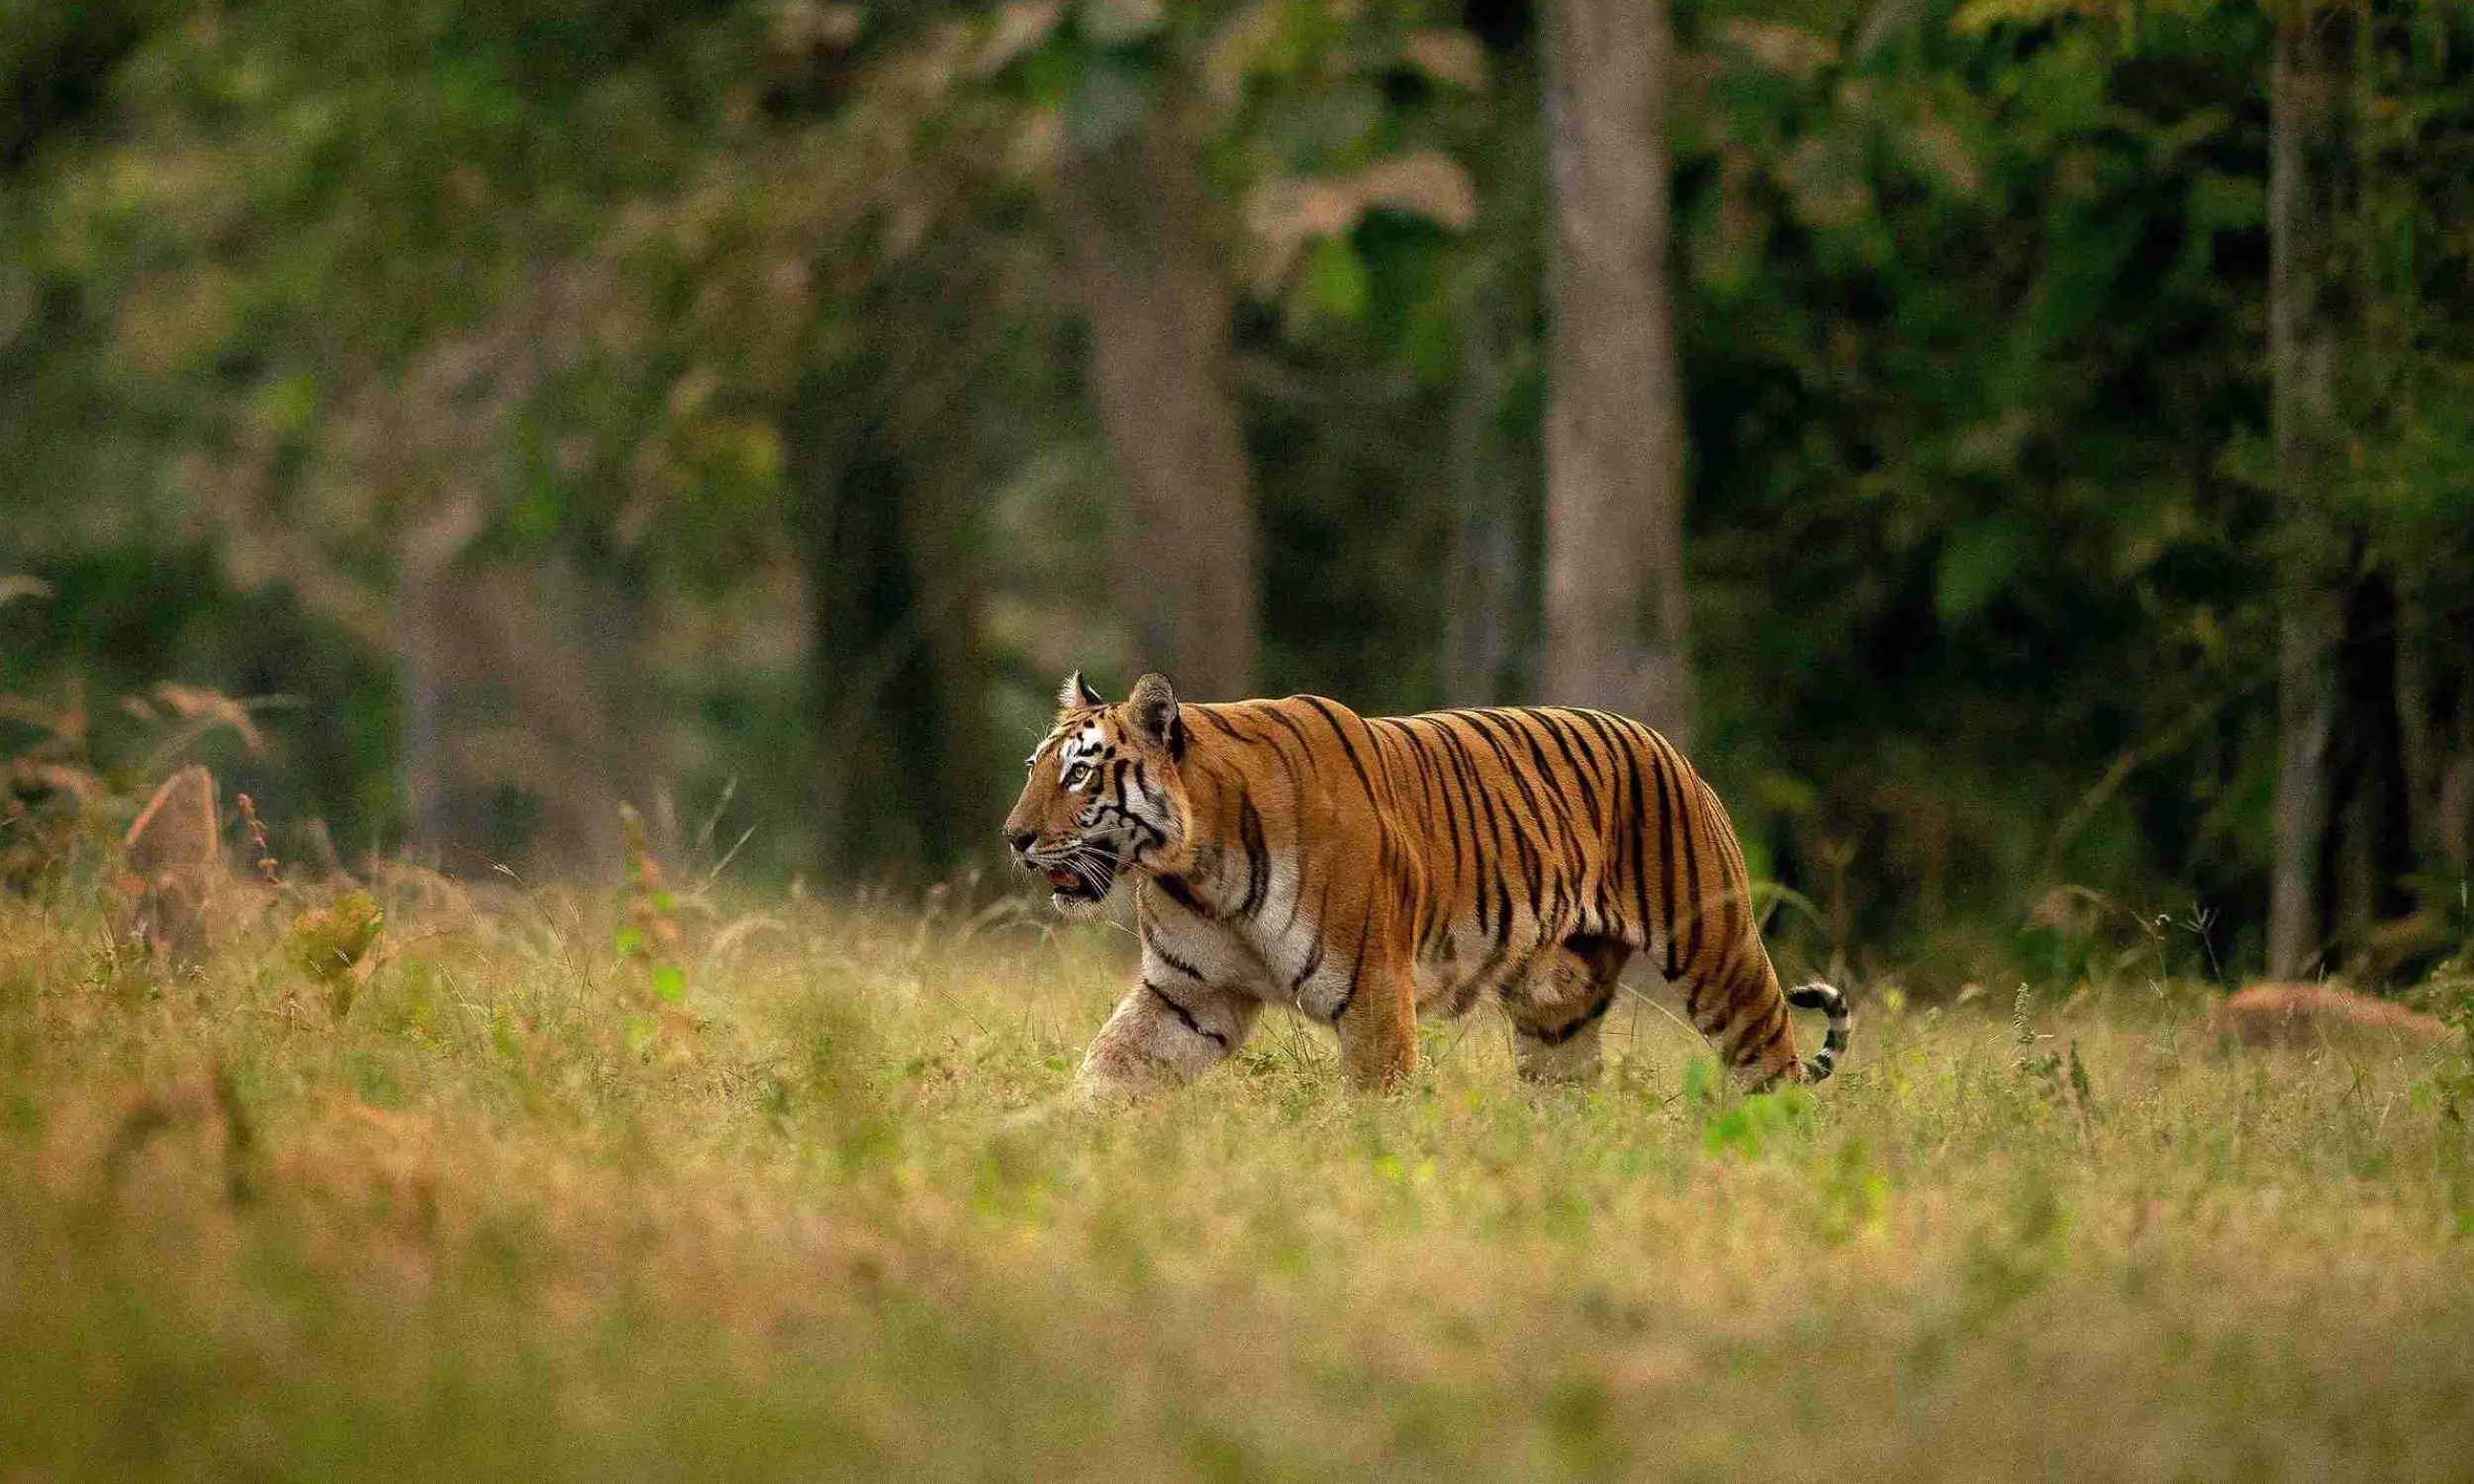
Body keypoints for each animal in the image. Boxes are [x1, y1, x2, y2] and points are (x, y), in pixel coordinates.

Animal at [1001, 671, 1850, 1093]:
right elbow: (1107, 1073)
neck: (1197, 866)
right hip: (1556, 1010)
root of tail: (1665, 744)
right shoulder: (1189, 995)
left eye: (1078, 775)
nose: (1014, 837)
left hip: (1717, 951)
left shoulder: (1375, 996)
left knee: (1773, 1067)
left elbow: (1376, 1114)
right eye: (1035, 766)